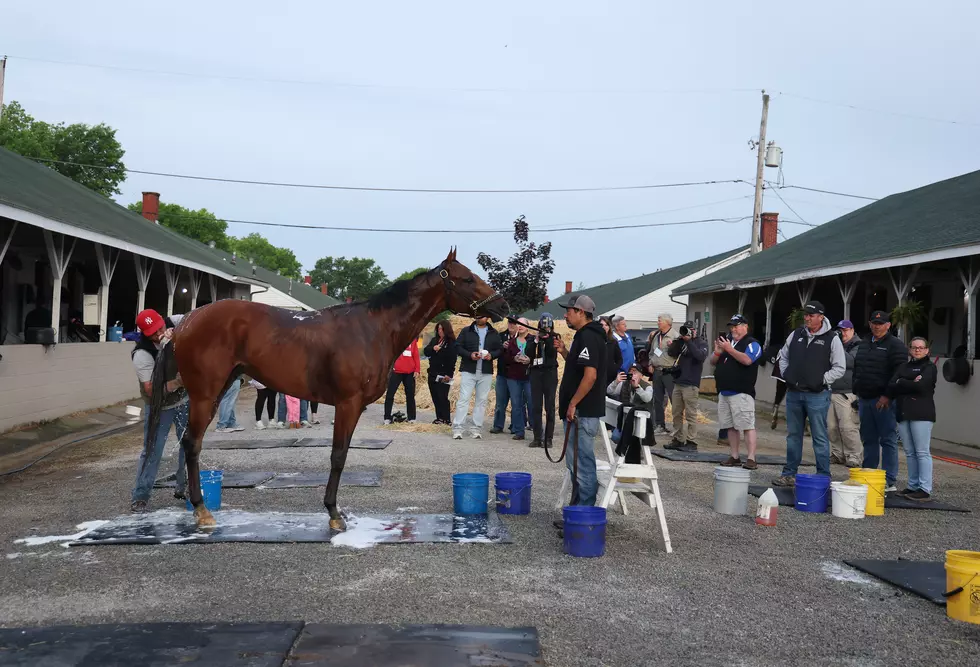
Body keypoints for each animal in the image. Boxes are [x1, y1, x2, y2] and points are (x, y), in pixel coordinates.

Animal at [144, 249, 508, 531]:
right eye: (466, 278)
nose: (503, 306)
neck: (373, 328)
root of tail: (184, 323)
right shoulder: (348, 404)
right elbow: (338, 456)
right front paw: (334, 513)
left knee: (189, 443)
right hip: (205, 395)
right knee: (191, 444)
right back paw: (201, 511)